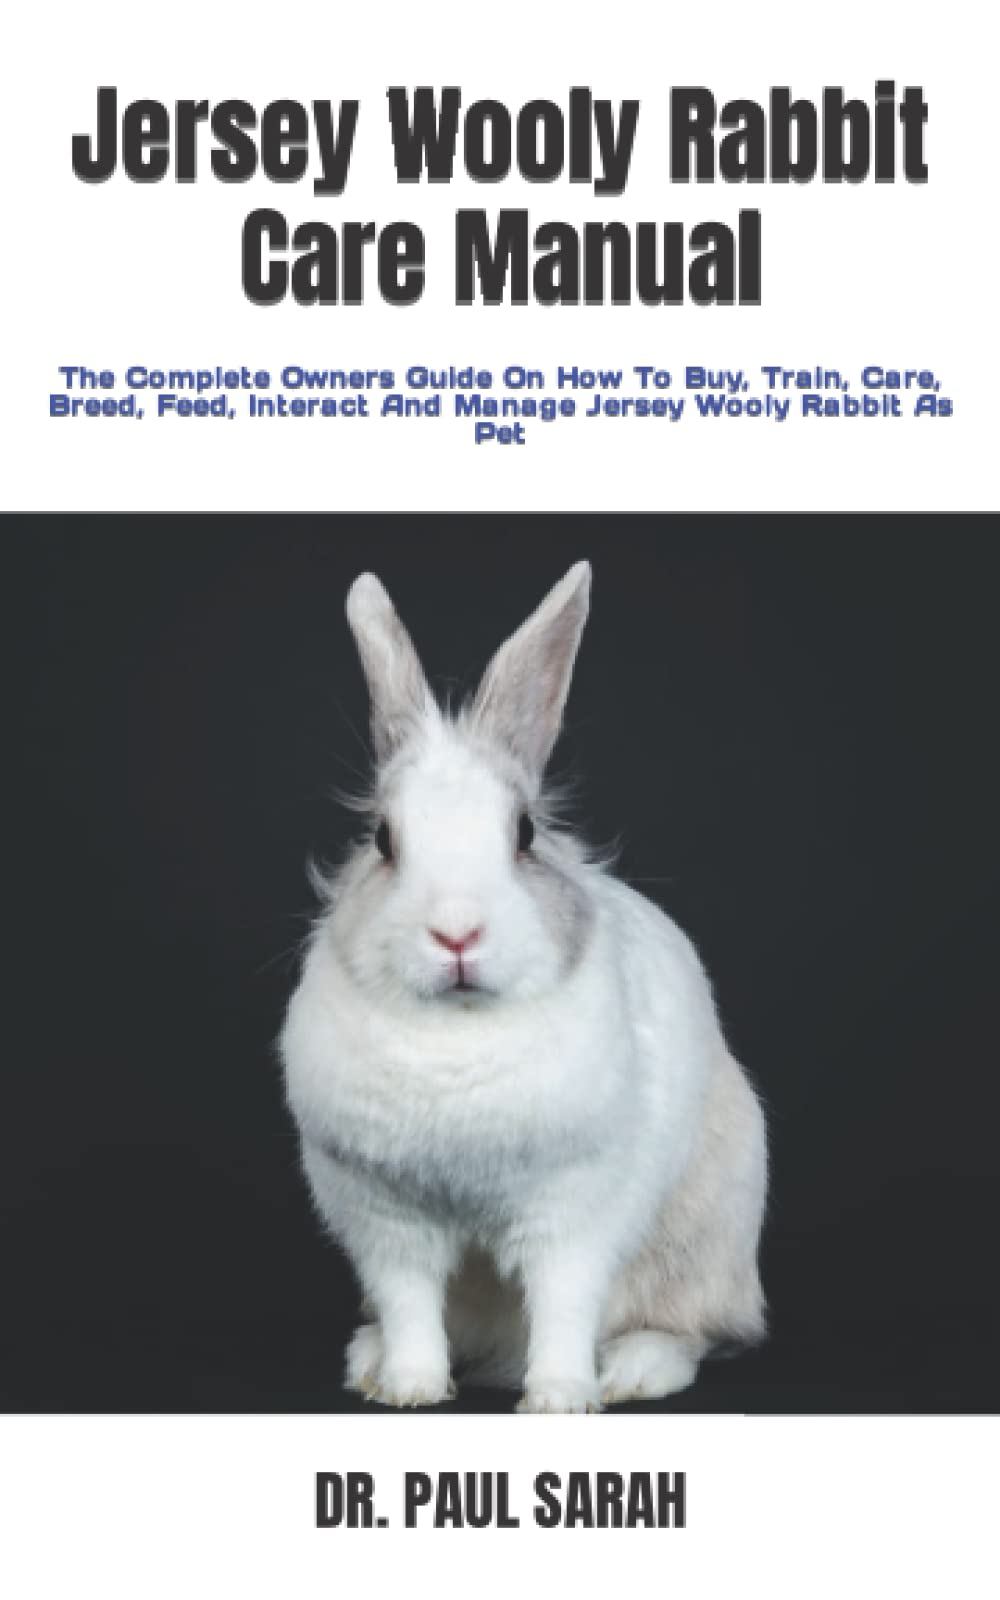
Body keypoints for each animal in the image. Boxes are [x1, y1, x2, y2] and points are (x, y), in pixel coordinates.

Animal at [280, 561, 767, 1412]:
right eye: (383, 840)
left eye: (526, 833)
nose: (457, 934)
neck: (457, 1032)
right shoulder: (388, 1224)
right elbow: (411, 1305)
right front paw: (410, 1386)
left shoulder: (573, 1212)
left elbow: (563, 1302)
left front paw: (561, 1397)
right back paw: (369, 1359)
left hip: (700, 1246)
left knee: (691, 1328)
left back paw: (634, 1369)